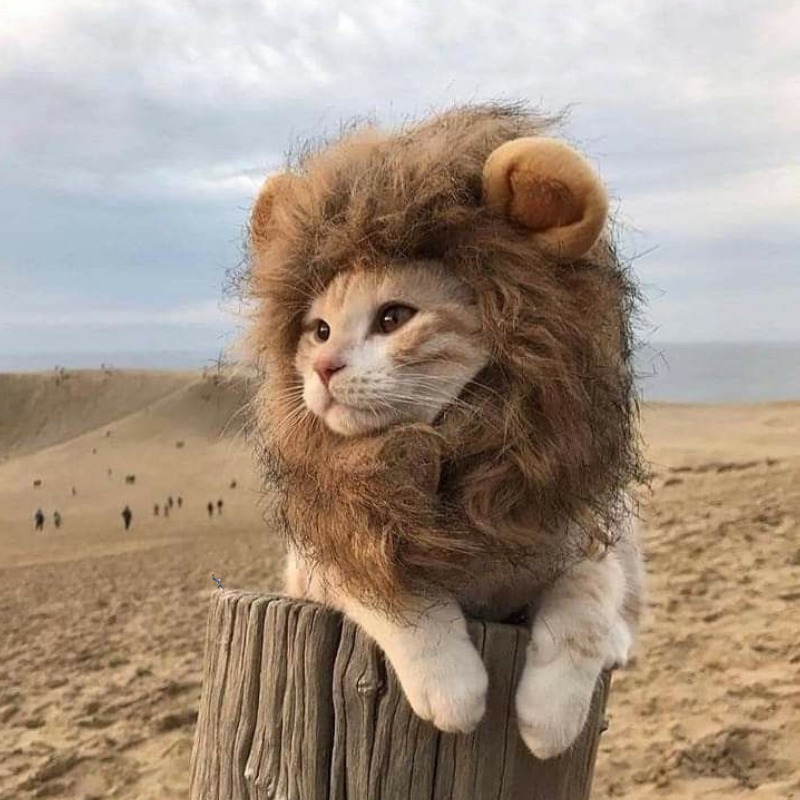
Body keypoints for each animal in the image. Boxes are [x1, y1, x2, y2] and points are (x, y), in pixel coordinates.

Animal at [247, 103, 645, 758]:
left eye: (393, 318)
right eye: (319, 330)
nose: (324, 368)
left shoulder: (588, 543)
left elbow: (585, 608)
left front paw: (550, 716)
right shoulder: (332, 556)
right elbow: (400, 596)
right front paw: (453, 689)